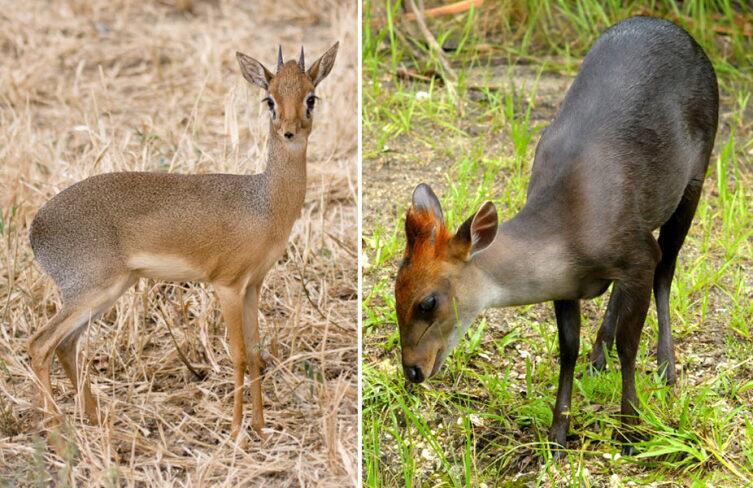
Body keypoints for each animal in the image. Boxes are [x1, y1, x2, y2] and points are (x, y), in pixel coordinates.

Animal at [27, 42, 338, 438]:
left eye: (311, 96)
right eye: (269, 99)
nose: (289, 131)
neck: (263, 204)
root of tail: (35, 228)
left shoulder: (253, 285)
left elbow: (255, 351)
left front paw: (259, 425)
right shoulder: (227, 285)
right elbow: (237, 353)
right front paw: (235, 431)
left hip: (108, 290)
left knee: (65, 346)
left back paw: (95, 421)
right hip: (91, 290)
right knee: (39, 344)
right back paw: (56, 429)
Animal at [394, 18, 716, 454]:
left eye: (428, 303)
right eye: (396, 291)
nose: (412, 369)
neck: (569, 230)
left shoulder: (635, 253)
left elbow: (630, 344)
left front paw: (630, 431)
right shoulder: (568, 283)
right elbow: (568, 347)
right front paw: (558, 434)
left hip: (696, 173)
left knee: (666, 270)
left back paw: (667, 365)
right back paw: (599, 356)